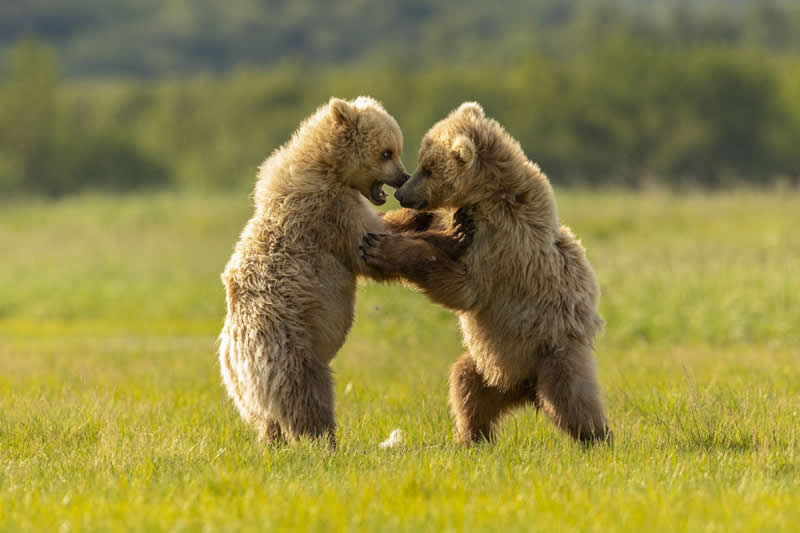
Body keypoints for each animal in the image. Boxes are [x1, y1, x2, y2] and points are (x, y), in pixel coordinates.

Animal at [218, 96, 473, 446]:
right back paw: (324, 441)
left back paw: (273, 441)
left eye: (396, 148)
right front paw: (451, 229)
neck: (326, 167)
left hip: (245, 390)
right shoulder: (328, 211)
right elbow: (366, 245)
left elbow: (379, 228)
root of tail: (237, 362)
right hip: (289, 354)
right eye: (387, 152)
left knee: (268, 420)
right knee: (308, 400)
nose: (403, 176)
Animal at [360, 102, 611, 444]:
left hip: (553, 351)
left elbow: (464, 288)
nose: (402, 192)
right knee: (466, 387)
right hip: (487, 364)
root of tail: (524, 391)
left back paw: (597, 436)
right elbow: (429, 226)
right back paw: (469, 437)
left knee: (571, 398)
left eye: (428, 168)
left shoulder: (503, 243)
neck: (483, 197)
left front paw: (384, 248)